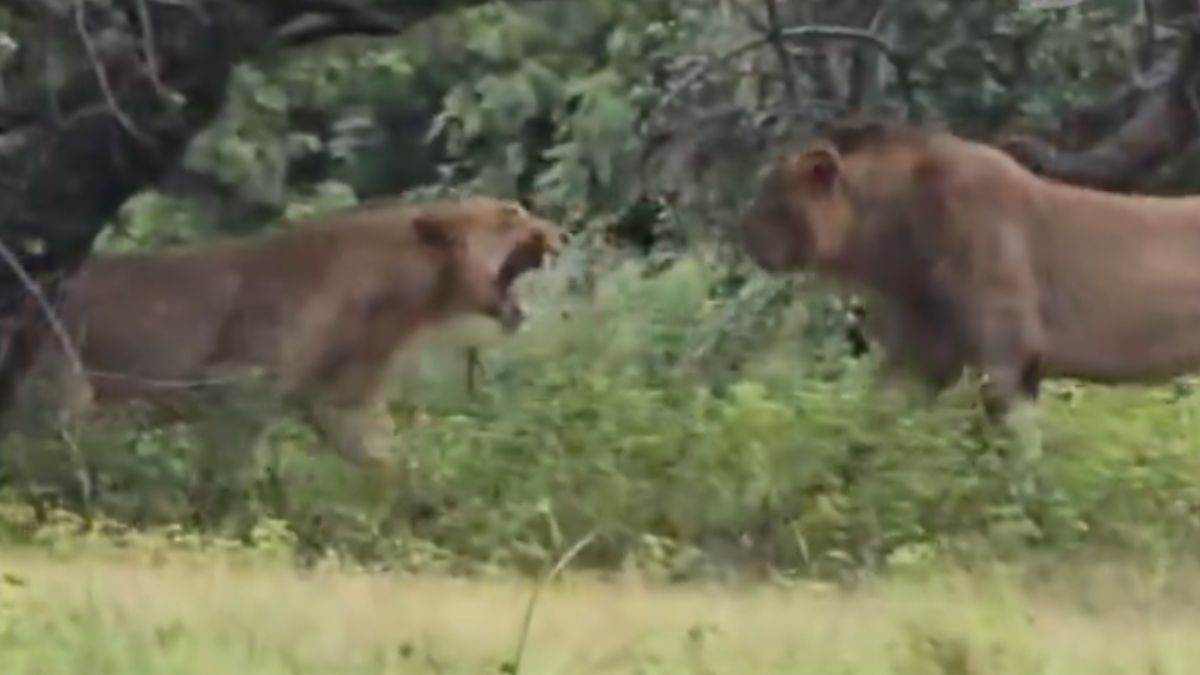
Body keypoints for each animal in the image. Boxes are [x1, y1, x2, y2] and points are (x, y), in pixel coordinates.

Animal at [13, 195, 563, 505]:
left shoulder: (344, 405)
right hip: (60, 382)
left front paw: (432, 505)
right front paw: (223, 515)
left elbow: (390, 463)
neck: (404, 303)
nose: (558, 231)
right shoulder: (237, 383)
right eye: (511, 212)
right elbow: (229, 468)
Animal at [738, 119, 1200, 458]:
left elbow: (1014, 446)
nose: (744, 237)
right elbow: (875, 422)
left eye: (772, 199)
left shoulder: (1009, 351)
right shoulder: (922, 350)